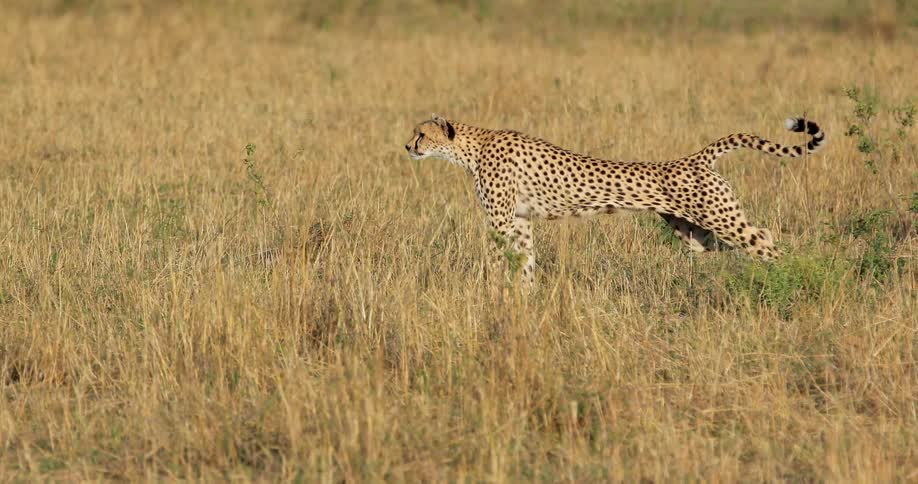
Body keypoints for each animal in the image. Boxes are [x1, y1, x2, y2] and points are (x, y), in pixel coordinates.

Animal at [404, 114, 826, 284]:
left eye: (421, 134)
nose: (407, 146)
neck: (472, 147)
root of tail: (693, 157)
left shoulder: (502, 221)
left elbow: (498, 260)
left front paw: (493, 295)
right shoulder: (521, 222)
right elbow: (524, 263)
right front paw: (523, 300)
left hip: (719, 218)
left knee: (765, 241)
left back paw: (792, 279)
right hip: (695, 234)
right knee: (759, 236)